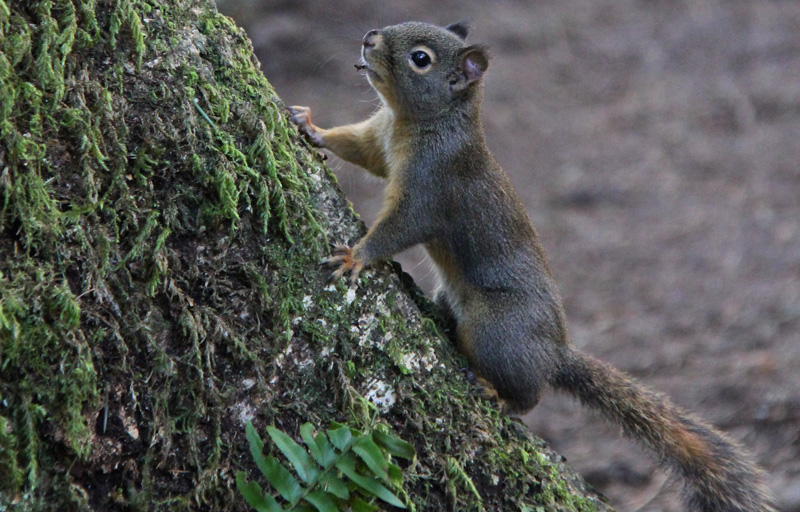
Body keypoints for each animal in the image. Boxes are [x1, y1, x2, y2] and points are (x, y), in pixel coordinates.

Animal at [290, 20, 776, 512]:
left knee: (530, 394)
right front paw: (310, 126)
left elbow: (399, 228)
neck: (419, 123)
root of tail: (555, 352)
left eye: (420, 59)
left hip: (496, 330)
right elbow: (355, 145)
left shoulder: (432, 186)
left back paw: (500, 396)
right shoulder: (379, 139)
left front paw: (356, 256)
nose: (369, 37)